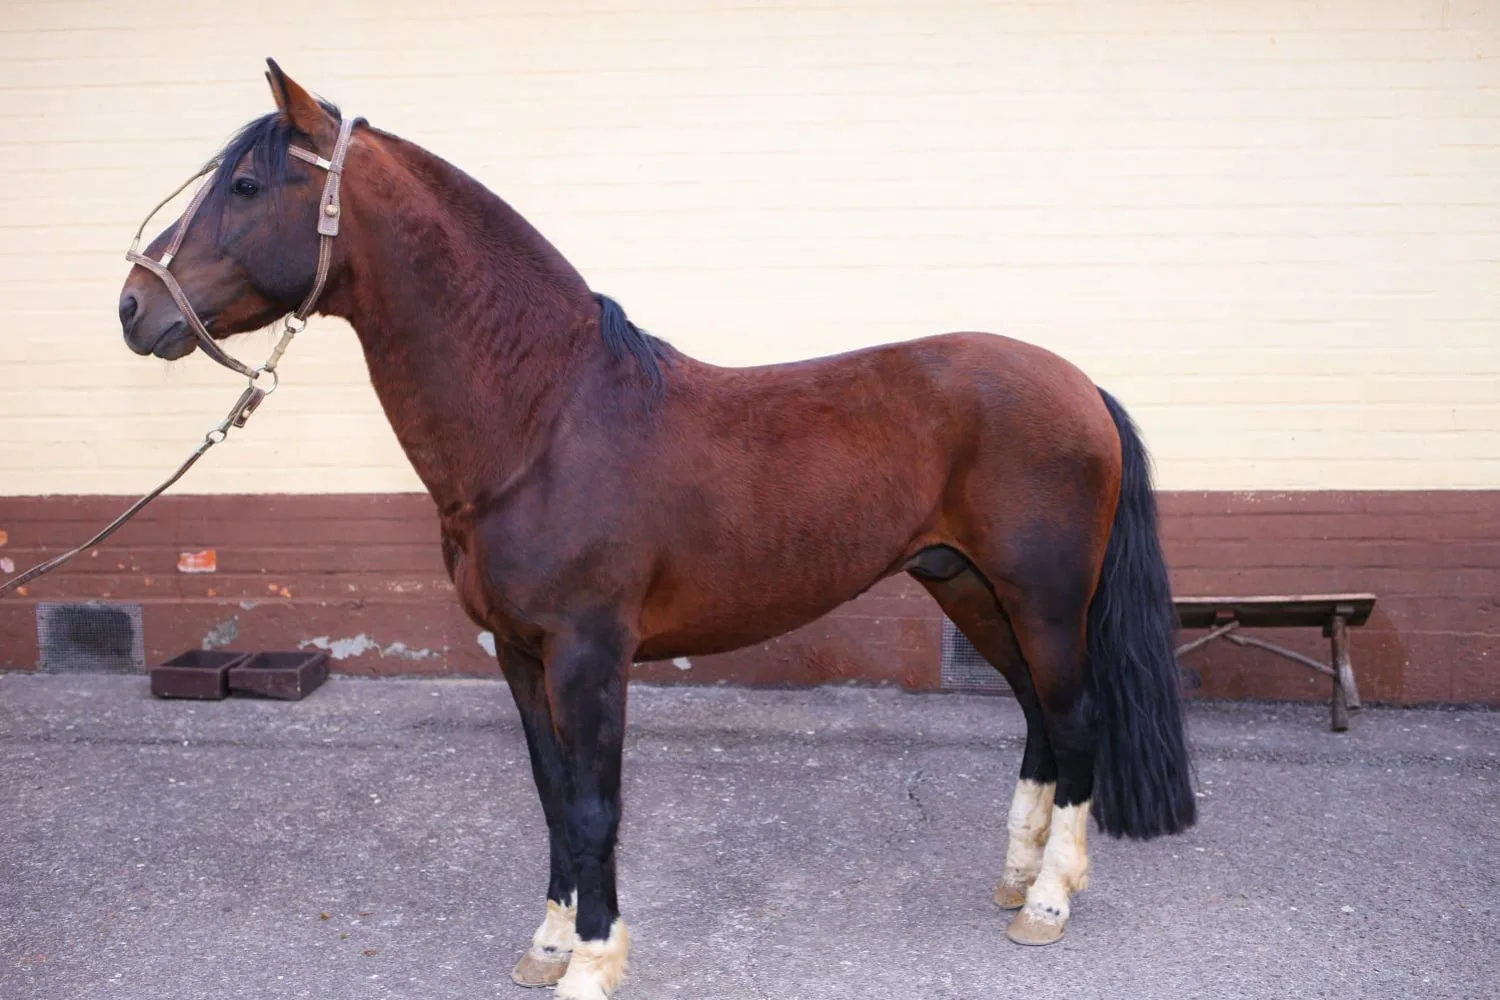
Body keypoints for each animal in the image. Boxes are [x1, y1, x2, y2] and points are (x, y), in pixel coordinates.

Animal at [117, 60, 1195, 998]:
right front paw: (549, 943)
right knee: (1040, 720)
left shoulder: (590, 654)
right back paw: (1016, 880)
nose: (132, 306)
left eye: (246, 184)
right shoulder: (518, 652)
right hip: (970, 588)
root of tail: (1080, 388)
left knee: (1077, 720)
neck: (543, 420)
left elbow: (596, 803)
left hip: (1044, 599)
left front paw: (593, 964)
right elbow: (553, 794)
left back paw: (1049, 903)